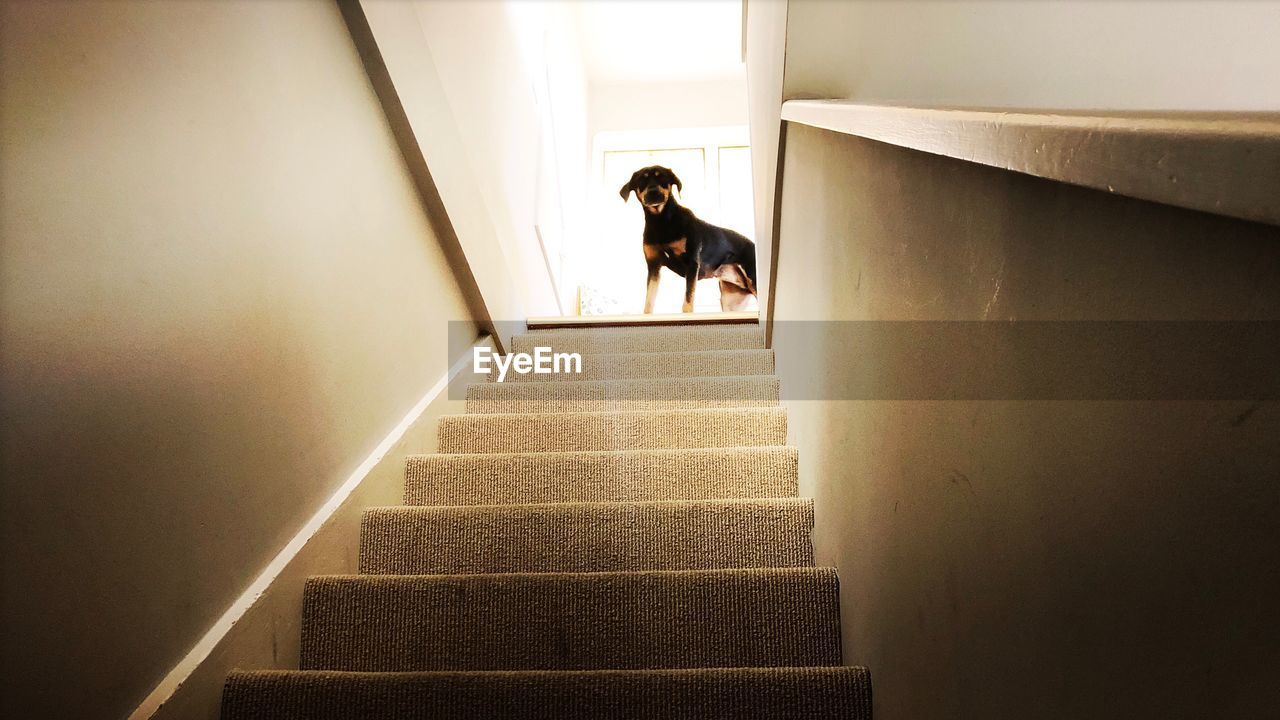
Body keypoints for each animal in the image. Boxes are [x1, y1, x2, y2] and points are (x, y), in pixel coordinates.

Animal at [622, 165, 757, 311]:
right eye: (642, 180)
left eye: (662, 177)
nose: (653, 192)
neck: (661, 221)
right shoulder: (653, 266)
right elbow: (649, 302)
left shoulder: (692, 264)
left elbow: (688, 301)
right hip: (731, 301)